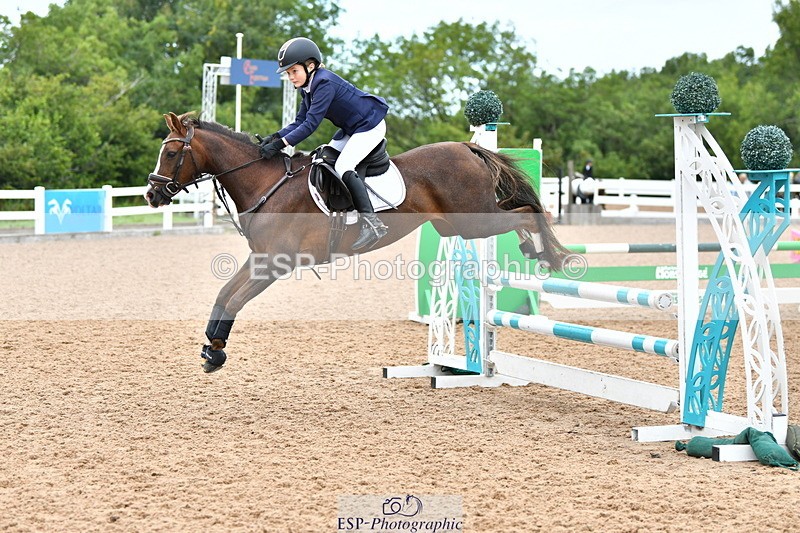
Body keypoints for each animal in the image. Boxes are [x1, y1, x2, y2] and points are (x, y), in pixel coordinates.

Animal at [145, 112, 568, 372]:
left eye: (171, 152)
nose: (151, 195)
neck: (267, 184)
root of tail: (467, 148)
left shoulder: (276, 263)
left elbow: (235, 300)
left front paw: (216, 352)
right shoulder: (260, 258)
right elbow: (223, 294)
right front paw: (210, 346)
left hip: (477, 221)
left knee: (529, 209)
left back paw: (549, 254)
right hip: (458, 227)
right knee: (520, 210)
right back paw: (536, 250)